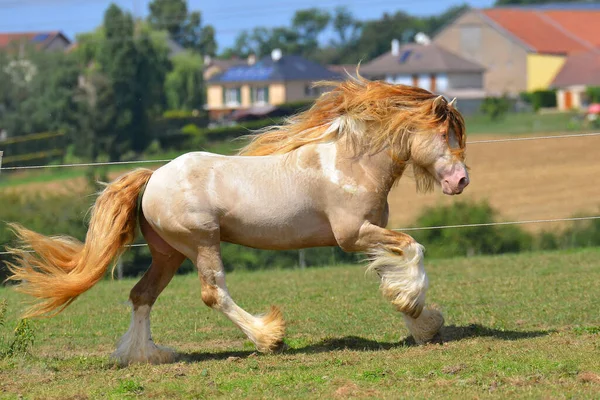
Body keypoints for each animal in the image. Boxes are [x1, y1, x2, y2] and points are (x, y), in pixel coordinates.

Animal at [7, 75, 472, 366]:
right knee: (213, 293)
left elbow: (390, 276)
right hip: (201, 243)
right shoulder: (354, 235)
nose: (461, 181)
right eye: (444, 134)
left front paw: (423, 325)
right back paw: (269, 338)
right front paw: (419, 311)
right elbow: (414, 249)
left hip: (168, 254)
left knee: (142, 295)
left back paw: (145, 356)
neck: (351, 164)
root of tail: (153, 176)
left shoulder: (369, 237)